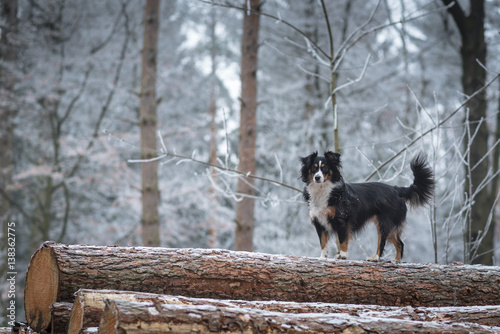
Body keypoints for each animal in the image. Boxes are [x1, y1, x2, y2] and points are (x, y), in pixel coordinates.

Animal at [300, 151, 434, 260]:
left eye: (325, 168)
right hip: (389, 225)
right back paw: (396, 261)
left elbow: (343, 240)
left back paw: (375, 258)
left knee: (383, 241)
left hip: (385, 222)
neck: (322, 189)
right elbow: (323, 242)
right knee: (400, 243)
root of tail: (396, 189)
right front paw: (322, 257)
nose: (317, 178)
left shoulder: (342, 219)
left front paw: (342, 255)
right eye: (313, 168)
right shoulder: (319, 221)